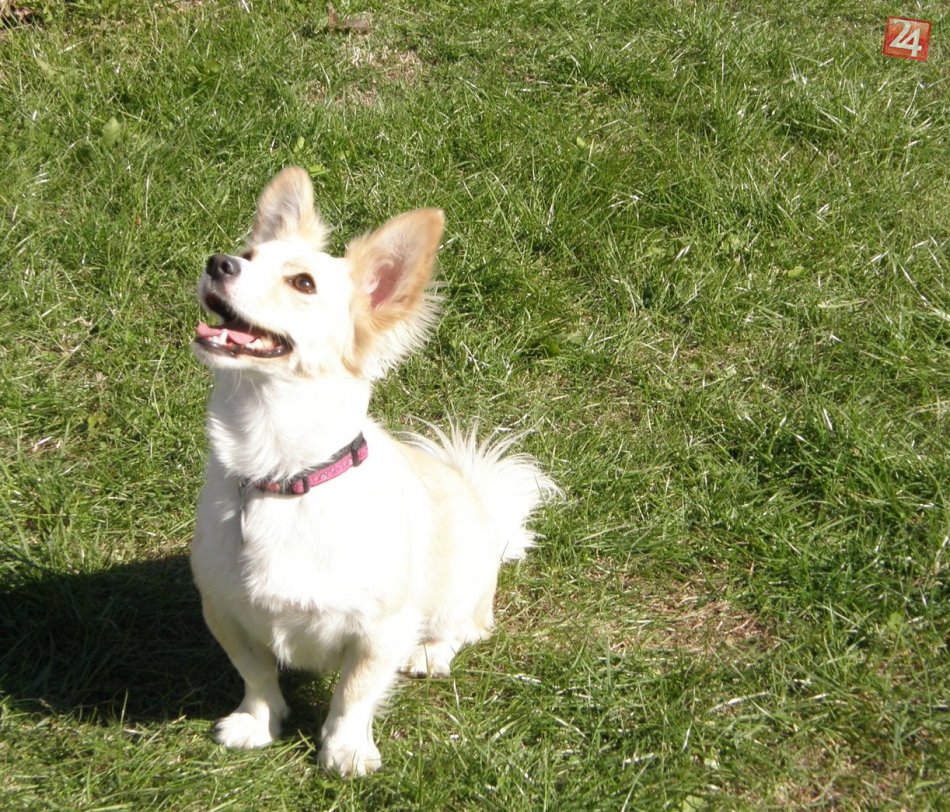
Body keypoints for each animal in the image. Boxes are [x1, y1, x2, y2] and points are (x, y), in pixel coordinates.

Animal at [190, 167, 558, 775]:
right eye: (247, 255)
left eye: (304, 284)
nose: (218, 262)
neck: (282, 472)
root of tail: (486, 512)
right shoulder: (223, 609)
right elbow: (257, 672)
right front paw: (257, 722)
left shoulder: (382, 628)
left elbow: (354, 693)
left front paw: (345, 750)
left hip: (458, 590)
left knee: (466, 628)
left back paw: (431, 652)